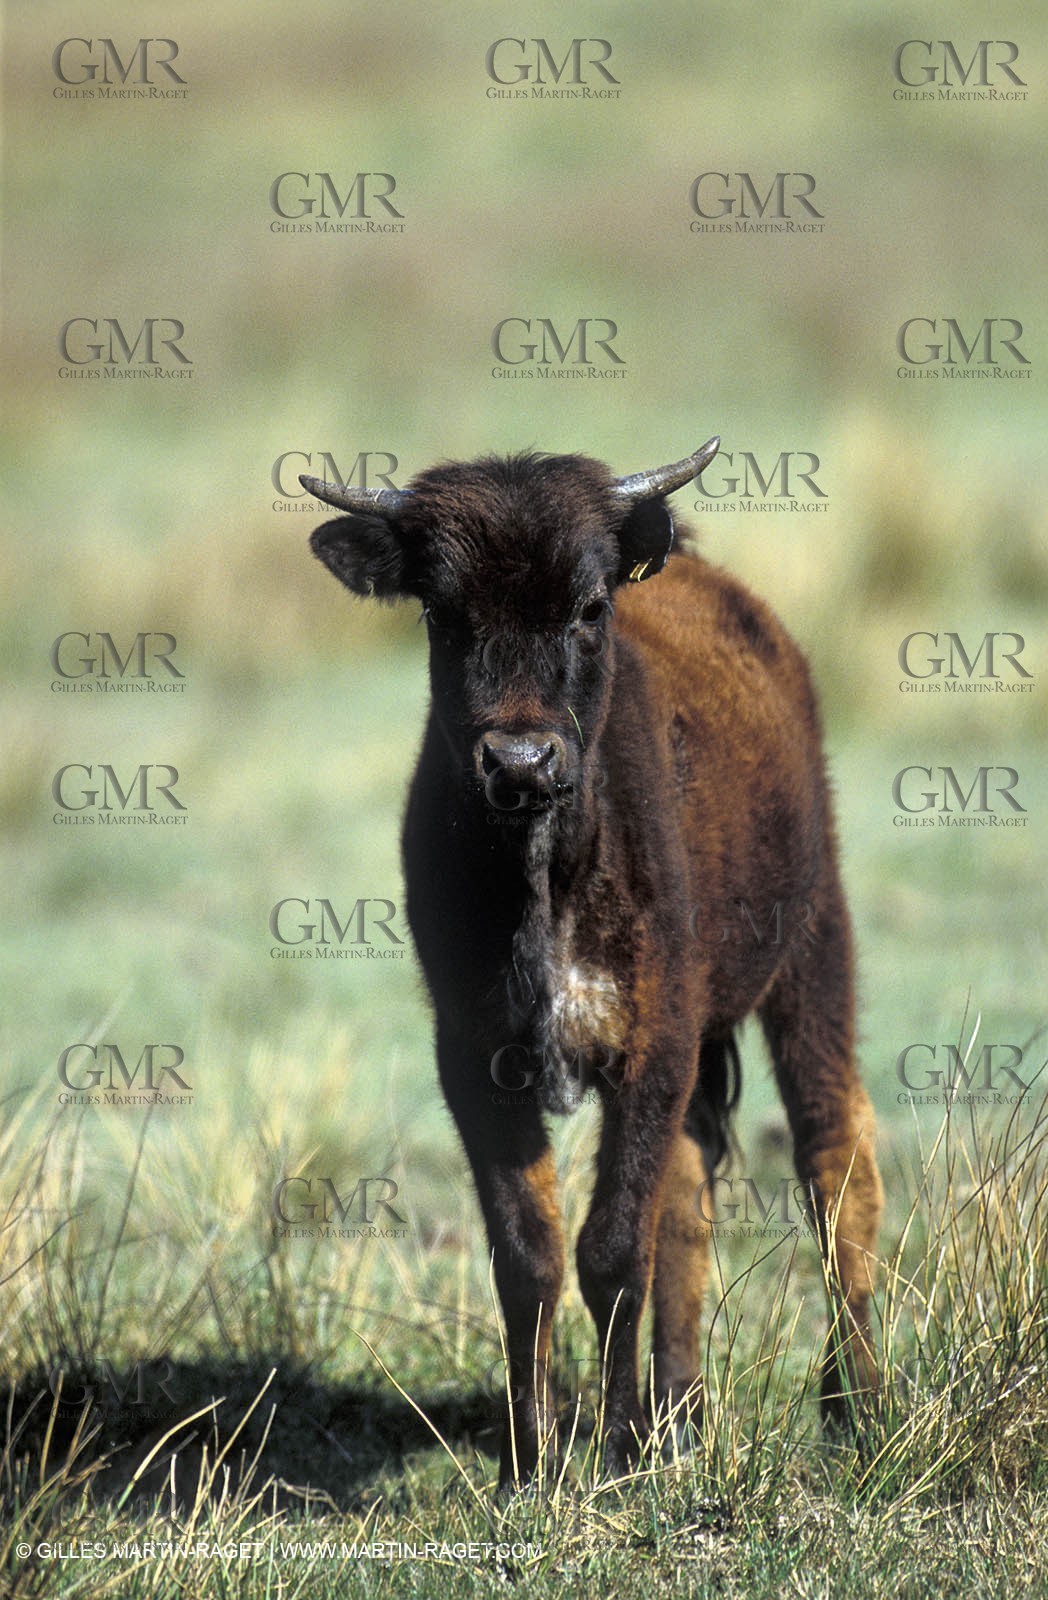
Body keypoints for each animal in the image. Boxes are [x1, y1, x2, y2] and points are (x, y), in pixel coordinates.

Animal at [302, 438, 883, 1488]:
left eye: (589, 607)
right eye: (443, 612)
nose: (521, 762)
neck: (550, 871)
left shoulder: (651, 1048)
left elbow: (613, 1248)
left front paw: (613, 1454)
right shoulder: (477, 1059)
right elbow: (528, 1250)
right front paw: (528, 1465)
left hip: (816, 955)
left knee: (834, 1156)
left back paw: (853, 1405)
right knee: (690, 1199)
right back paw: (681, 1412)